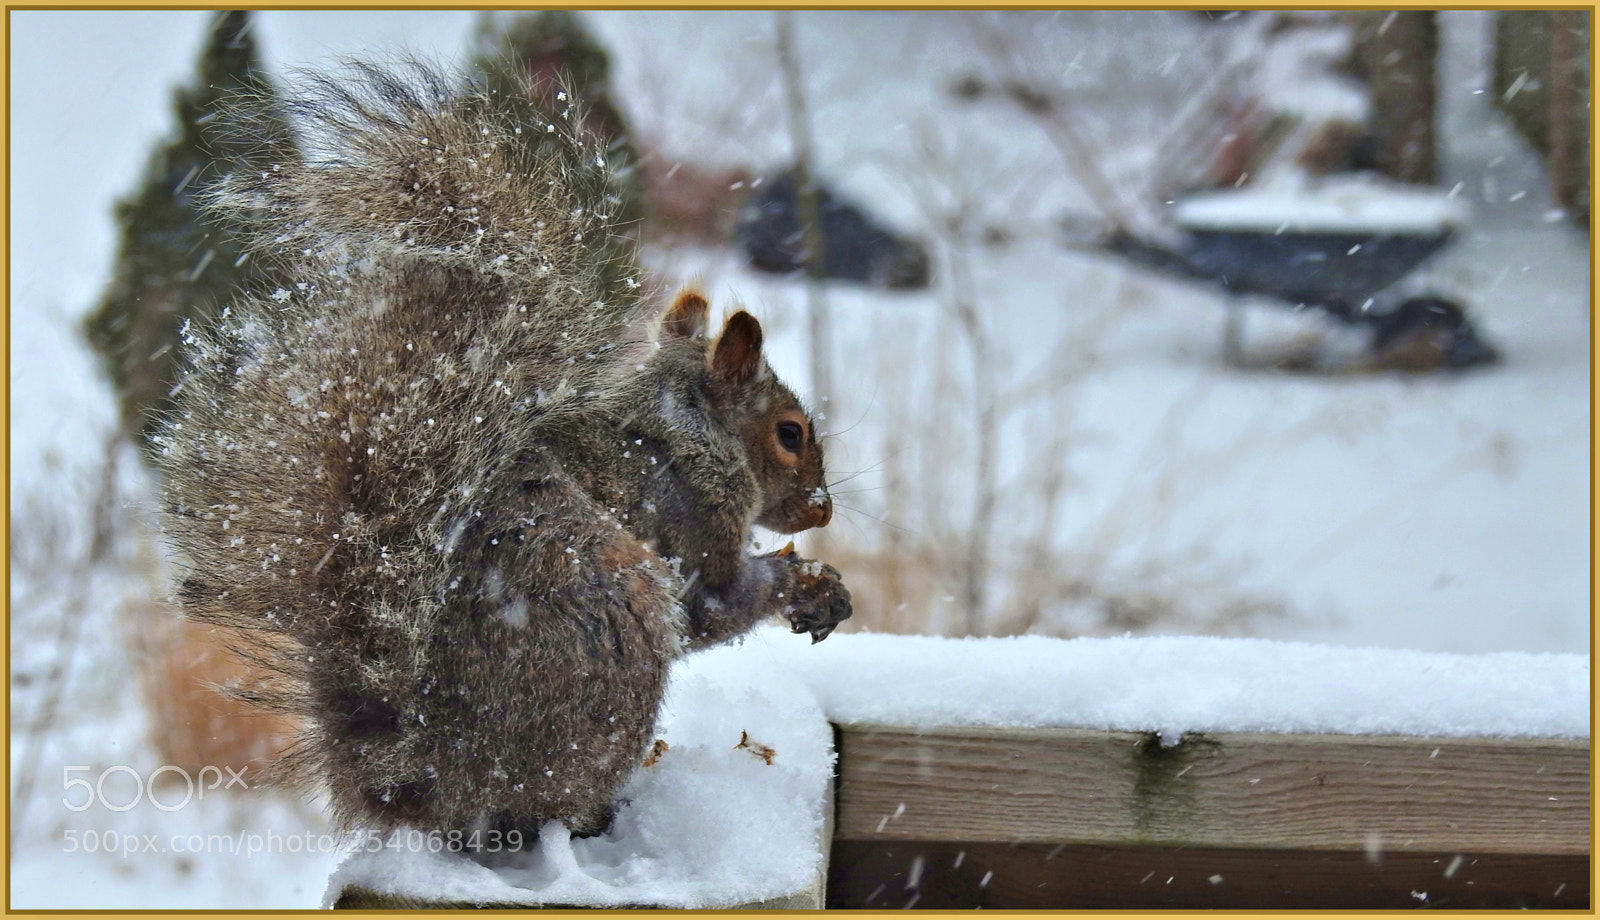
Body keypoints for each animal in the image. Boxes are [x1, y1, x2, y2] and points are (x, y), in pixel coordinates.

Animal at [154, 60, 851, 843]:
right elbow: (718, 606)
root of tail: (430, 779)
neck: (678, 434)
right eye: (789, 434)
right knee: (547, 808)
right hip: (618, 621)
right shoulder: (689, 523)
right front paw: (804, 582)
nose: (823, 512)